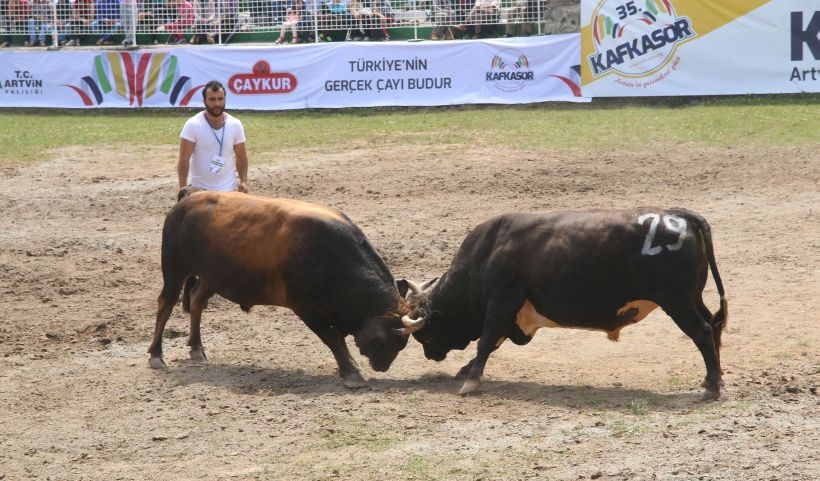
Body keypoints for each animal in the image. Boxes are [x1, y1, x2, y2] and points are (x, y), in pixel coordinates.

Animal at [149, 191, 410, 386]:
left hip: (210, 276)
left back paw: (196, 348)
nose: (383, 366)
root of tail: (189, 197)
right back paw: (156, 354)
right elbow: (332, 338)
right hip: (175, 269)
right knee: (166, 304)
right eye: (390, 340)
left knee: (196, 300)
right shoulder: (304, 307)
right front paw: (351, 372)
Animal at [400, 206, 728, 398]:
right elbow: (494, 342)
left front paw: (471, 380)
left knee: (702, 332)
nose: (431, 355)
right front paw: (467, 371)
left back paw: (711, 386)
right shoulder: (514, 312)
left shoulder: (503, 300)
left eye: (425, 335)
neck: (488, 251)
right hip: (693, 298)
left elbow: (487, 340)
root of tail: (680, 216)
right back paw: (714, 379)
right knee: (714, 325)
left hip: (678, 302)